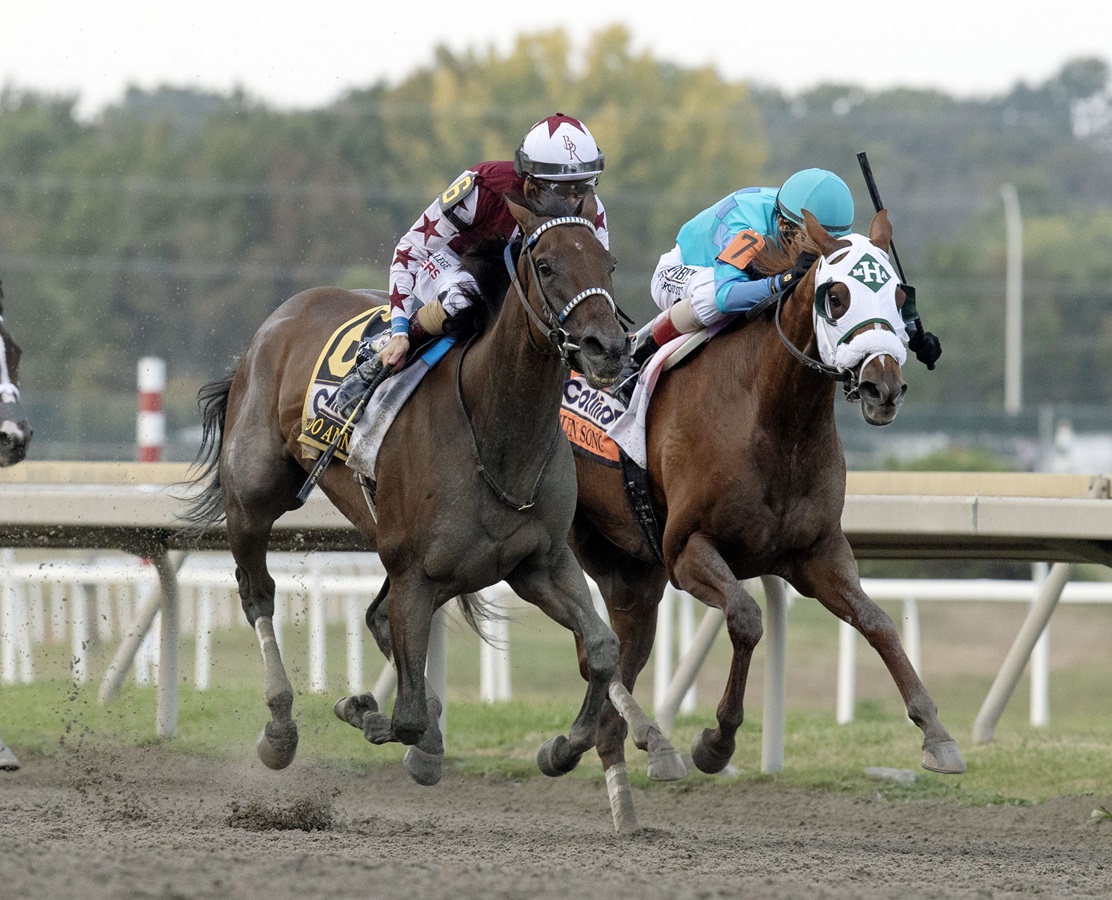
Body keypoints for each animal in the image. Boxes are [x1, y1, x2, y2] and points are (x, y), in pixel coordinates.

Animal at [179, 189, 662, 787]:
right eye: (546, 265)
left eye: (608, 264)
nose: (608, 349)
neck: (493, 430)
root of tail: (280, 317)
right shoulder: (415, 570)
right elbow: (404, 714)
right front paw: (363, 709)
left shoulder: (539, 562)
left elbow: (600, 647)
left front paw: (563, 747)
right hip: (253, 497)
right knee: (258, 594)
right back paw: (280, 728)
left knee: (376, 617)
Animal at [573, 209, 965, 827]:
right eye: (836, 296)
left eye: (900, 295)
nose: (883, 387)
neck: (773, 418)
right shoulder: (687, 551)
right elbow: (747, 618)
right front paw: (715, 742)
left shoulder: (816, 553)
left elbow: (878, 621)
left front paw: (936, 733)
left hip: (629, 570)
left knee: (615, 648)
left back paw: (597, 752)